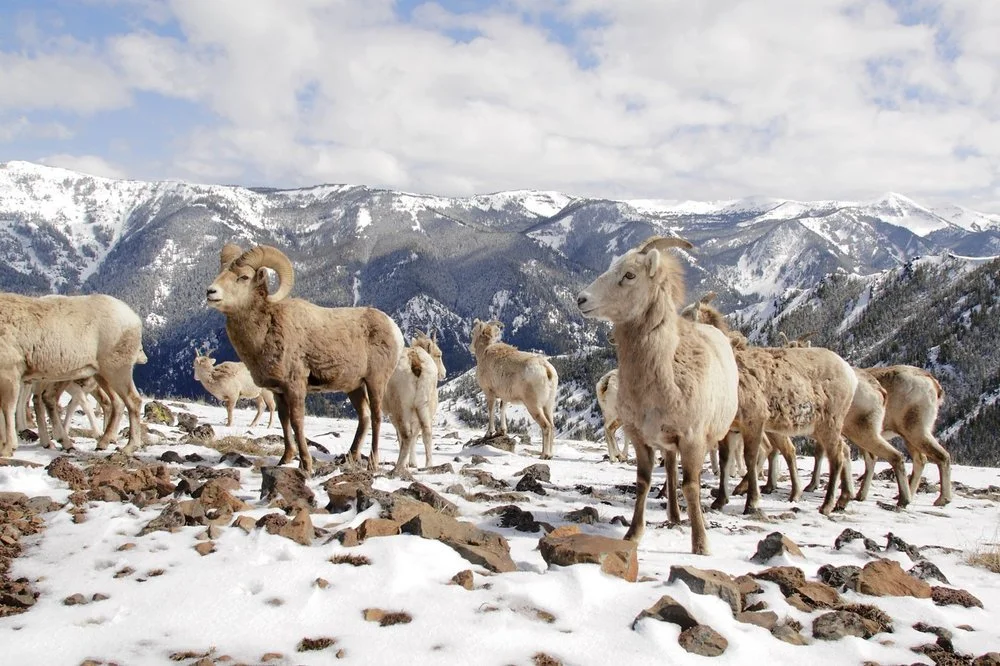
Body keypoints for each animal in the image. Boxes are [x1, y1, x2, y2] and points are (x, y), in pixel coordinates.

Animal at [0, 292, 146, 457]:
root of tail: (134, 318)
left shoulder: (9, 373)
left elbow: (7, 409)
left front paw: (7, 449)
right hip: (101, 375)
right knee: (117, 402)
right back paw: (101, 443)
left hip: (116, 370)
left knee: (133, 401)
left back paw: (127, 447)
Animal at [206, 244, 404, 474]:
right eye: (221, 272)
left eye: (244, 277)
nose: (210, 292)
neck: (267, 329)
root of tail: (394, 329)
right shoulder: (278, 391)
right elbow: (284, 421)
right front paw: (285, 459)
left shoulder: (296, 386)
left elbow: (297, 422)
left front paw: (306, 464)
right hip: (354, 387)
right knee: (363, 417)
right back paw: (350, 457)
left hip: (375, 382)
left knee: (376, 417)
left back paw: (372, 463)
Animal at [385, 330, 447, 475]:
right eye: (439, 354)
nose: (444, 374)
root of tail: (415, 360)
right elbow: (415, 436)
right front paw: (413, 463)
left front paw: (409, 464)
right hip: (423, 406)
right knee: (427, 433)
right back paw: (428, 466)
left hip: (402, 408)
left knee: (406, 435)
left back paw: (399, 467)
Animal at [469, 319, 558, 459]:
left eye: (473, 332)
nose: (470, 348)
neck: (484, 352)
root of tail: (547, 370)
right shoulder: (504, 397)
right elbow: (502, 409)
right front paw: (502, 431)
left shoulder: (489, 393)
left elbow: (491, 410)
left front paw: (489, 433)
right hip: (548, 405)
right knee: (552, 426)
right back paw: (549, 455)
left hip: (533, 406)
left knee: (546, 426)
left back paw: (544, 455)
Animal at [576, 236, 739, 554]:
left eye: (629, 275)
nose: (582, 300)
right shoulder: (641, 437)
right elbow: (644, 481)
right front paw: (633, 535)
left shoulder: (692, 439)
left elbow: (691, 485)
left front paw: (701, 545)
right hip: (667, 443)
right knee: (671, 471)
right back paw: (673, 516)